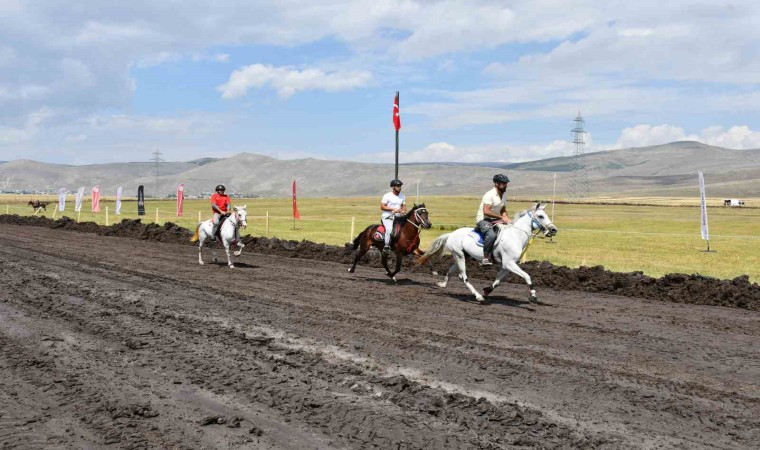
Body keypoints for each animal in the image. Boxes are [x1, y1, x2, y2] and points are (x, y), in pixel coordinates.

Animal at [416, 203, 560, 302]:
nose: (553, 230)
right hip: (459, 256)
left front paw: (487, 290)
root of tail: (451, 234)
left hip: (463, 256)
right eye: (541, 216)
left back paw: (443, 284)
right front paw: (533, 296)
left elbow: (498, 280)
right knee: (464, 277)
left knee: (453, 271)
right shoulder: (509, 263)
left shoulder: (507, 265)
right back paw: (478, 297)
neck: (515, 236)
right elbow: (527, 276)